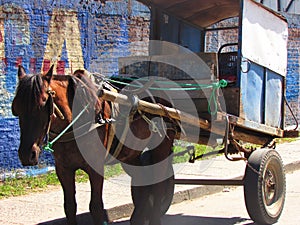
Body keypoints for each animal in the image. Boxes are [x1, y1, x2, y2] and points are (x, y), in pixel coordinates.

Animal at [11, 65, 176, 225]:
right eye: (16, 108)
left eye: (43, 103)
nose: (26, 154)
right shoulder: (63, 169)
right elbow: (69, 206)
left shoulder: (95, 168)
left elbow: (95, 207)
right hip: (131, 154)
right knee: (142, 180)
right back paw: (138, 218)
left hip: (161, 148)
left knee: (158, 184)